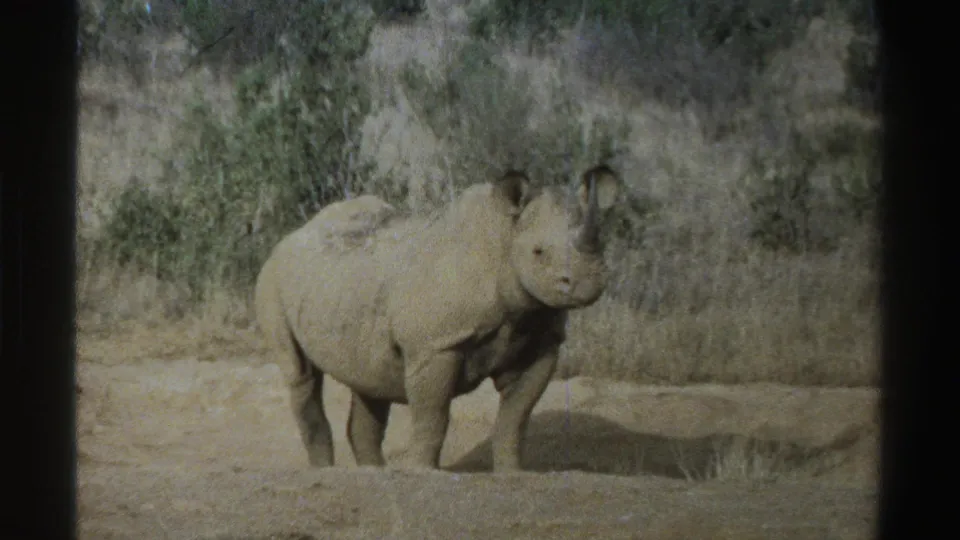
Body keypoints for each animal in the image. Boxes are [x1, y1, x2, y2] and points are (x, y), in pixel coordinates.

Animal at [254, 164, 621, 472]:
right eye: (538, 252)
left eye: (602, 244)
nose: (587, 282)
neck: (504, 236)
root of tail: (293, 235)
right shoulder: (435, 345)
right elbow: (433, 415)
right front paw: (422, 472)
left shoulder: (541, 338)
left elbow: (514, 418)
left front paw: (512, 473)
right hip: (273, 279)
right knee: (301, 375)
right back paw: (327, 472)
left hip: (344, 284)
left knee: (368, 379)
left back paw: (374, 473)